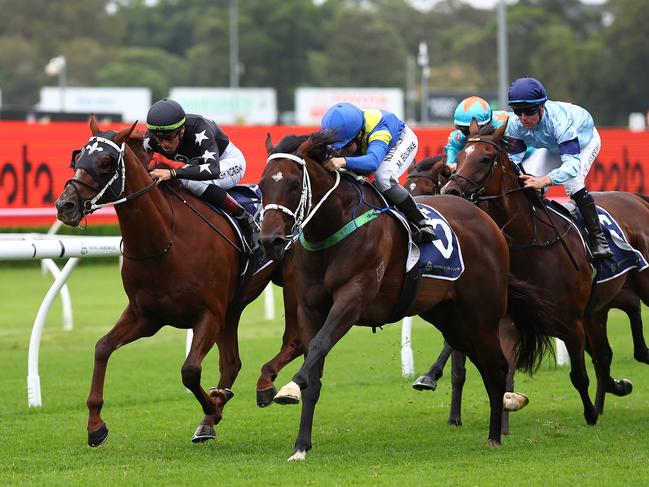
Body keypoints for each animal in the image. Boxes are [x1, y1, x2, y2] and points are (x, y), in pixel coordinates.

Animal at [54, 116, 298, 448]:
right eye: (77, 157)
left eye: (105, 162)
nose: (65, 205)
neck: (165, 240)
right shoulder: (146, 316)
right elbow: (102, 347)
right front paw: (95, 425)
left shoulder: (208, 314)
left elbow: (190, 371)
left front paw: (214, 404)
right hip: (232, 308)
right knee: (232, 362)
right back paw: (212, 418)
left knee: (296, 337)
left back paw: (265, 387)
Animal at [256, 132, 560, 460]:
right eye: (261, 185)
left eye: (293, 184)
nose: (270, 241)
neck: (333, 228)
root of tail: (490, 225)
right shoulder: (310, 309)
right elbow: (314, 369)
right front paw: (301, 446)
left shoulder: (353, 299)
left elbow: (318, 346)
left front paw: (289, 388)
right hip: (450, 318)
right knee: (483, 363)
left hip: (483, 315)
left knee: (498, 366)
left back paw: (495, 434)